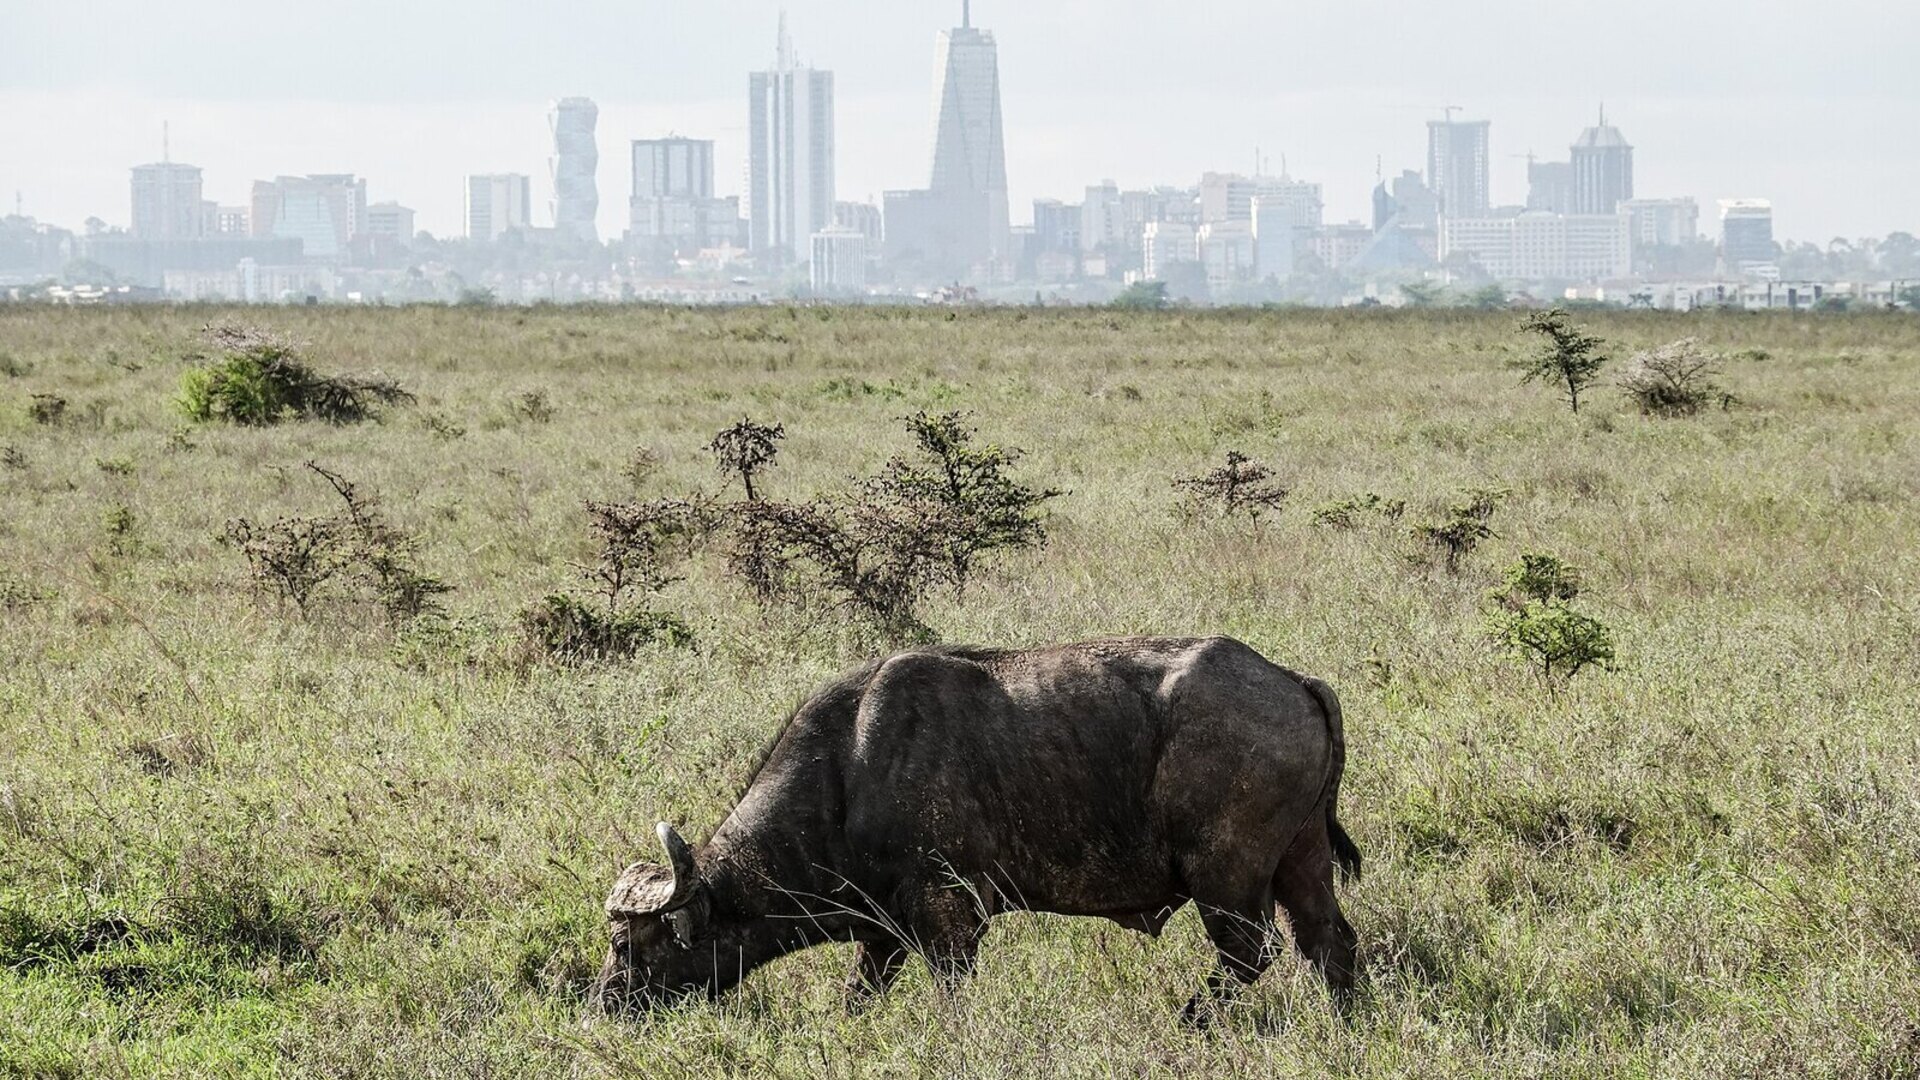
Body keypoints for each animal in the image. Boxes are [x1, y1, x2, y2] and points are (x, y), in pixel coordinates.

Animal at [591, 635, 1360, 1024]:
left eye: (631, 946)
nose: (604, 1004)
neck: (848, 768)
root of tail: (1291, 678)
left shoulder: (949, 919)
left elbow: (950, 997)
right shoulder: (885, 933)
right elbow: (857, 998)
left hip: (1225, 875)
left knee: (1251, 951)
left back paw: (1190, 1019)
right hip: (1301, 862)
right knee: (1328, 942)